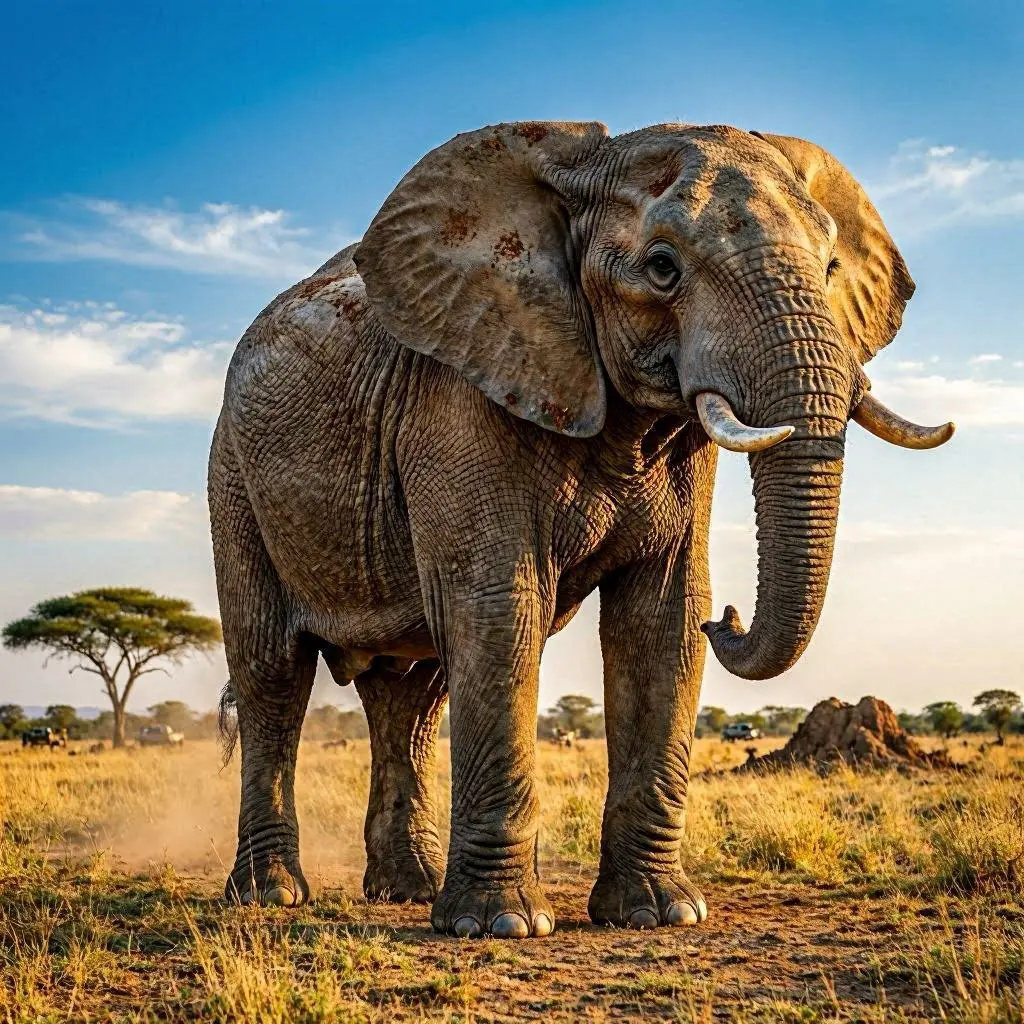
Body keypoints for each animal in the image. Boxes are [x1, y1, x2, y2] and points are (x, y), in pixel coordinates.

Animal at [208, 121, 953, 938]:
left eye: (830, 266)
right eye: (662, 268)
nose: (727, 620)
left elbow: (660, 621)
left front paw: (661, 914)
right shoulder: (461, 396)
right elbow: (501, 609)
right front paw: (502, 927)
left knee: (413, 695)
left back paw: (406, 890)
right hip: (233, 477)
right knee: (273, 670)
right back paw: (273, 896)